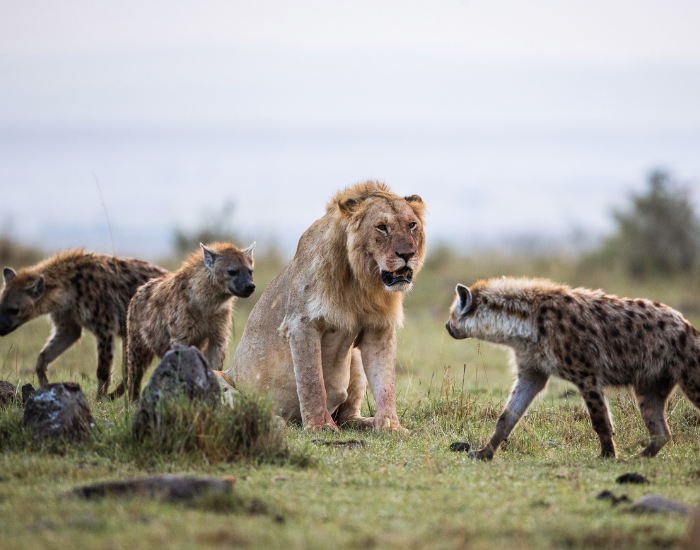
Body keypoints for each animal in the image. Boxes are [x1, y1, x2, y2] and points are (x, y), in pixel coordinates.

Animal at [221, 181, 426, 430]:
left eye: (412, 225)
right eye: (381, 227)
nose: (408, 254)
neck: (360, 282)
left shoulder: (379, 327)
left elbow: (386, 382)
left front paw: (390, 426)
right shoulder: (301, 323)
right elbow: (312, 380)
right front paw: (320, 425)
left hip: (354, 358)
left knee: (348, 417)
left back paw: (367, 422)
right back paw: (271, 419)